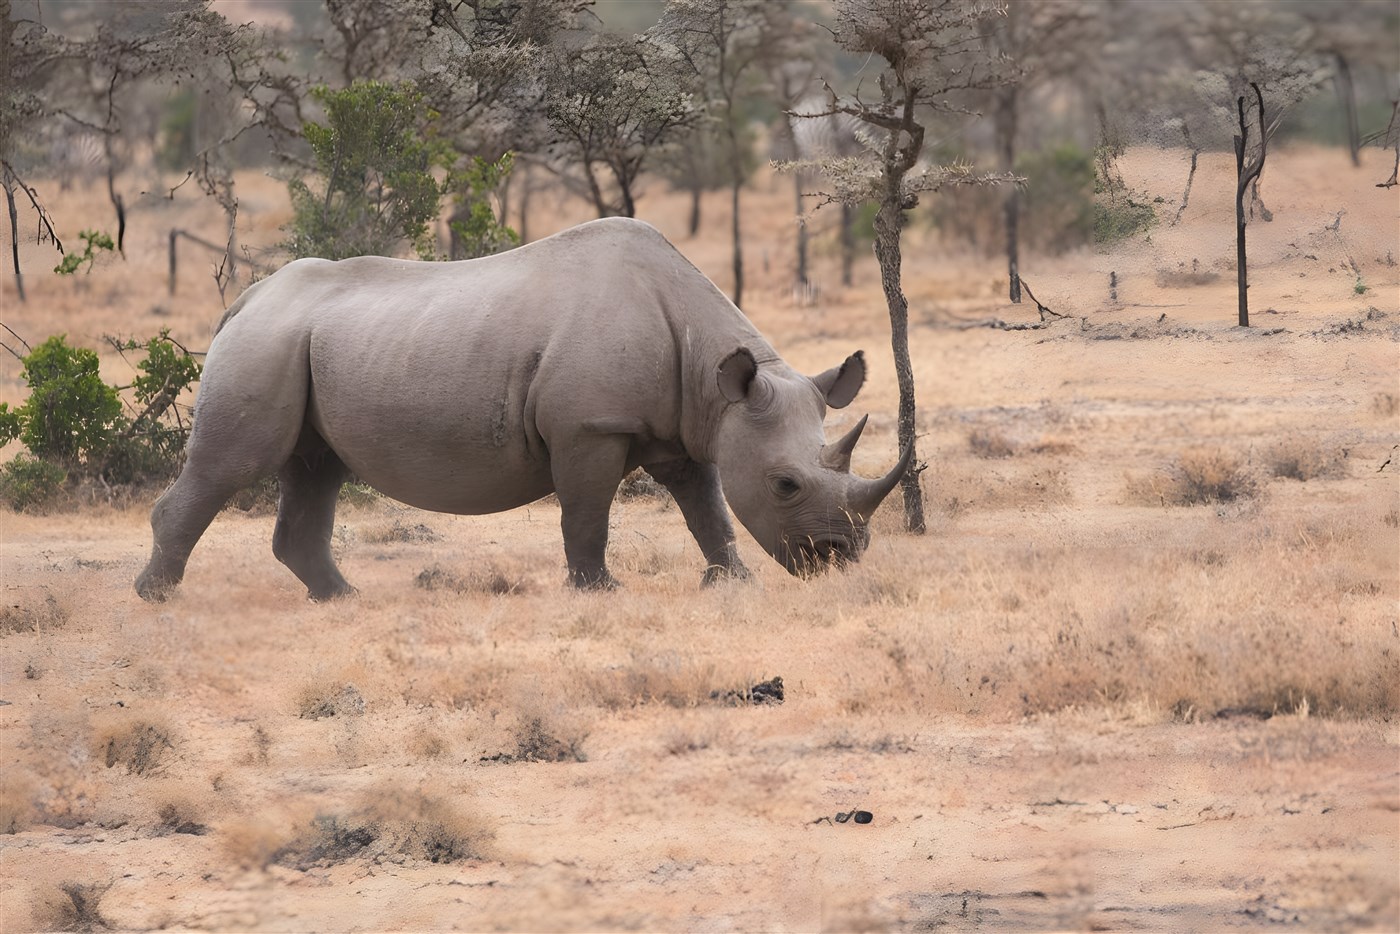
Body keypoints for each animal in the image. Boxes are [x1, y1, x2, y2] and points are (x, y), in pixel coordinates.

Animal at [135, 218, 911, 601]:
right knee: (236, 465)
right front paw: (599, 592)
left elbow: (707, 510)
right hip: (265, 343)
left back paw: (342, 599)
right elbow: (588, 516)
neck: (716, 376)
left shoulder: (688, 425)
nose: (840, 559)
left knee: (316, 467)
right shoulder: (590, 426)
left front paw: (731, 582)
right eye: (786, 484)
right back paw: (158, 598)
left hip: (307, 343)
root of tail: (246, 299)